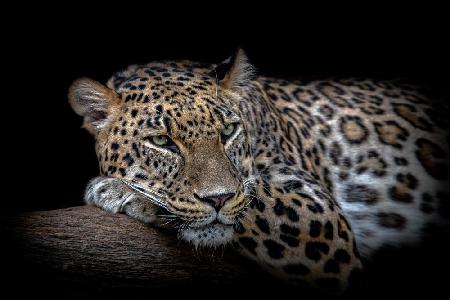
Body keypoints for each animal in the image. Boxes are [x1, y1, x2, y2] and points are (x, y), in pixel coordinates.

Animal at [68, 49, 448, 292]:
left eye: (228, 131)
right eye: (162, 141)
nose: (218, 199)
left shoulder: (320, 214)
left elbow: (254, 196)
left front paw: (121, 191)